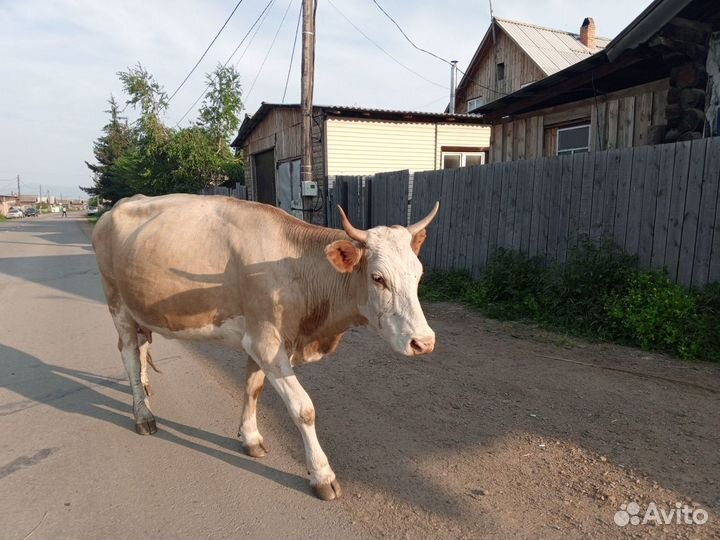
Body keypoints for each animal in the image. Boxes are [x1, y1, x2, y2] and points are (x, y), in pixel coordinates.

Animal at [92, 193, 438, 500]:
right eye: (378, 278)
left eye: (419, 274)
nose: (424, 342)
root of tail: (120, 205)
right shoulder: (266, 342)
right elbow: (304, 409)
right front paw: (322, 475)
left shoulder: (259, 341)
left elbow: (252, 388)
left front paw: (250, 438)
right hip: (117, 304)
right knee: (129, 355)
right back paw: (143, 416)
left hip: (140, 306)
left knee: (140, 347)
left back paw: (145, 391)